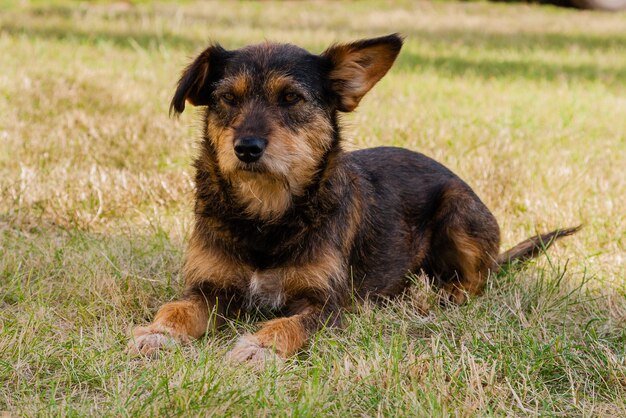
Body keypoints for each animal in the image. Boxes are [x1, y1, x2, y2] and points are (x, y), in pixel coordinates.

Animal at [128, 35, 580, 362]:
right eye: (227, 98)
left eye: (291, 98)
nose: (247, 148)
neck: (267, 216)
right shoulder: (208, 289)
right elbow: (177, 308)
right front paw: (157, 333)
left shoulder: (327, 305)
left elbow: (287, 325)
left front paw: (260, 346)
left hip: (459, 212)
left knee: (478, 280)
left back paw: (442, 295)